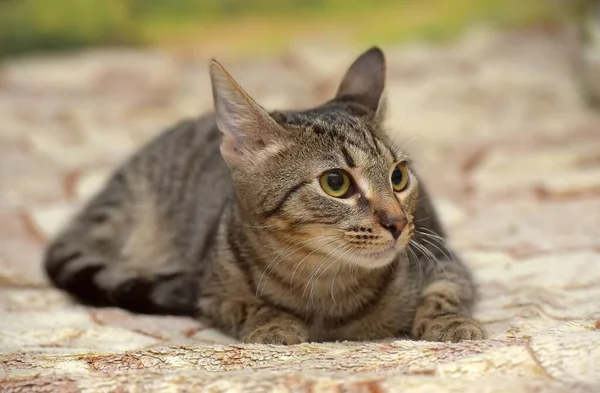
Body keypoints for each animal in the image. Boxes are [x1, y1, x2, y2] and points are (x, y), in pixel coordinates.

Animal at [45, 46, 488, 344]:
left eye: (399, 176)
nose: (397, 222)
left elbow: (444, 293)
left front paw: (449, 322)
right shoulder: (213, 293)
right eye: (336, 183)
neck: (325, 285)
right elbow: (249, 304)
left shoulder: (444, 260)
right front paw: (274, 323)